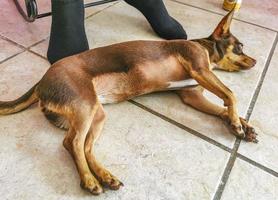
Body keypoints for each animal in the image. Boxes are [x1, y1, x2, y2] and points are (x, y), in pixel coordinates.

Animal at [0, 7, 258, 194]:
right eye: (240, 47)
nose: (255, 61)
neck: (203, 46)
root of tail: (41, 82)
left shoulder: (192, 95)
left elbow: (223, 105)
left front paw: (242, 124)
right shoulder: (200, 70)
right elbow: (230, 93)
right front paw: (237, 123)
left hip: (95, 113)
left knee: (82, 146)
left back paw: (104, 176)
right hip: (86, 106)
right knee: (72, 143)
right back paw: (89, 180)